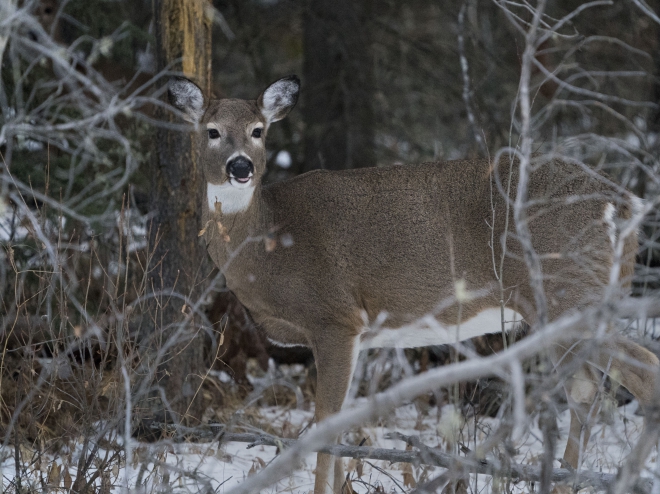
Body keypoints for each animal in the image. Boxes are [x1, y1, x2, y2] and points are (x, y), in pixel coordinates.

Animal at [170, 74, 660, 494]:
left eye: (258, 130)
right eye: (212, 131)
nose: (240, 167)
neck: (269, 243)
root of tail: (624, 202)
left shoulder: (335, 318)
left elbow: (326, 420)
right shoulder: (357, 333)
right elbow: (342, 418)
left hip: (569, 292)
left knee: (640, 372)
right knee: (587, 389)